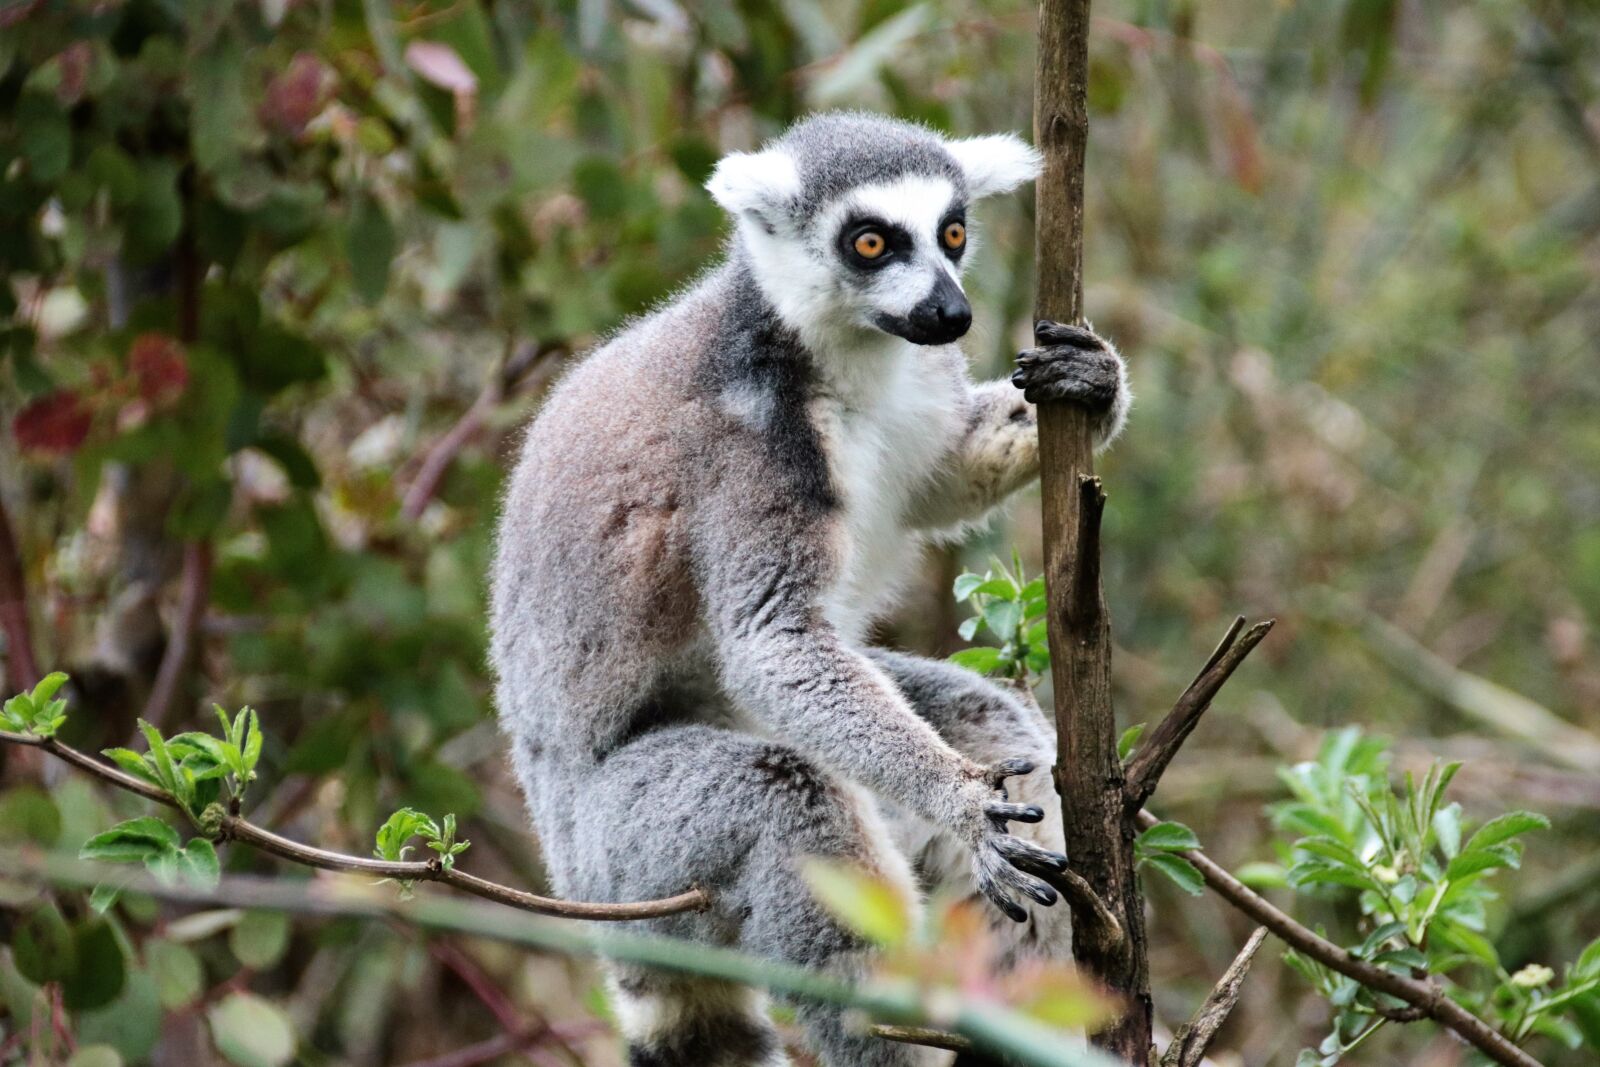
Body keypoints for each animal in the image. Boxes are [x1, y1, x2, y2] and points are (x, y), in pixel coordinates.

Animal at [490, 112, 1129, 1067]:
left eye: (953, 234)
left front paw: (1093, 381)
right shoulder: (751, 447)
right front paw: (962, 801)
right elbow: (774, 640)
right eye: (870, 242)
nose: (951, 312)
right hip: (628, 852)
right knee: (789, 805)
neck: (845, 354)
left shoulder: (917, 394)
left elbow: (943, 477)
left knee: (992, 722)